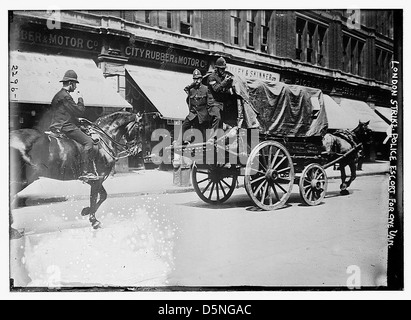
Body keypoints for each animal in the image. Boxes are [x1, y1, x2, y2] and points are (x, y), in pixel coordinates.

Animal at [9, 111, 143, 236]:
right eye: (140, 128)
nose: (138, 150)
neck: (102, 140)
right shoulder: (97, 179)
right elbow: (95, 198)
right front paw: (93, 220)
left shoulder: (94, 179)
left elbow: (103, 196)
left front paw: (86, 211)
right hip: (20, 181)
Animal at [169, 74, 372, 210]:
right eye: (368, 131)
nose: (365, 150)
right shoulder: (350, 159)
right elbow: (348, 175)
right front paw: (338, 187)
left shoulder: (347, 161)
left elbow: (346, 175)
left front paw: (342, 188)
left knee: (217, 174)